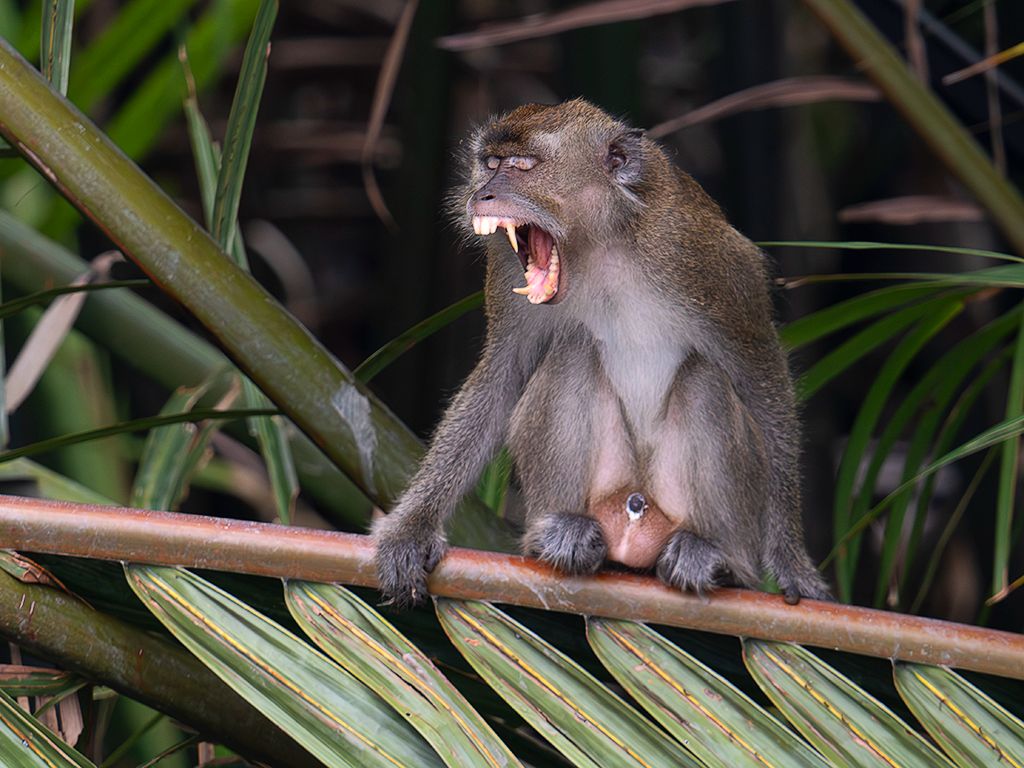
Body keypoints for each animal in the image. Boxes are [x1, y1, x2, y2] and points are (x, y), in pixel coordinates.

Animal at [372, 99, 830, 609]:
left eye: (522, 167)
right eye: (489, 164)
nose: (483, 194)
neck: (600, 241)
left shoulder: (704, 258)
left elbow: (761, 376)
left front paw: (791, 563)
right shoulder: (506, 267)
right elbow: (501, 378)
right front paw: (411, 529)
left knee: (706, 380)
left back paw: (719, 558)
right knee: (574, 352)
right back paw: (561, 533)